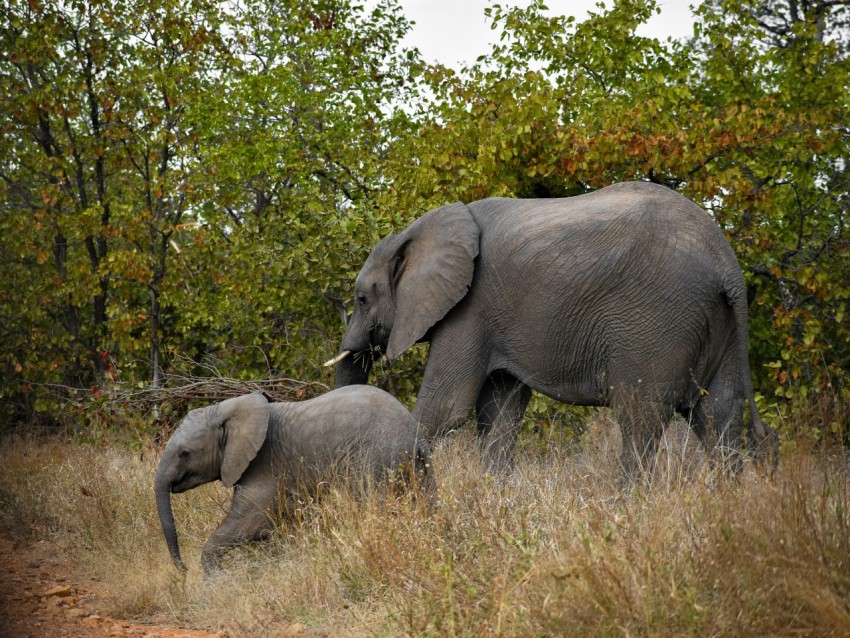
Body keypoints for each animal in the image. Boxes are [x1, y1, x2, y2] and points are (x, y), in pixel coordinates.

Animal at [154, 386, 434, 573]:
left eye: (185, 453)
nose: (184, 570)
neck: (228, 409)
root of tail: (416, 433)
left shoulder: (264, 465)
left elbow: (252, 522)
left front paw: (217, 579)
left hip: (375, 458)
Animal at [328, 181, 777, 476]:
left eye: (362, 299)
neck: (415, 231)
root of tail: (726, 262)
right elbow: (500, 412)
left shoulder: (469, 310)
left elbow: (446, 407)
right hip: (720, 324)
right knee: (718, 416)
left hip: (658, 321)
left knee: (640, 417)